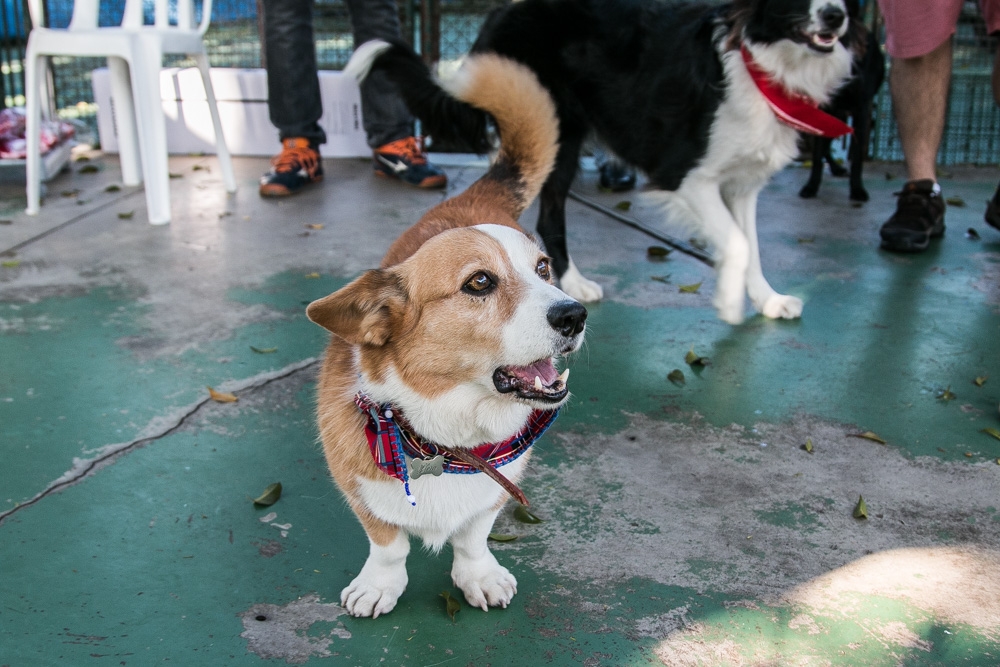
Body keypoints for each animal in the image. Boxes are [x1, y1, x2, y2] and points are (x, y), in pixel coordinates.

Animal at [348, 0, 856, 326]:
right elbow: (736, 242)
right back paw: (570, 282)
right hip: (557, 139)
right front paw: (731, 304)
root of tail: (501, 11)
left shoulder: (743, 184)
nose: (836, 15)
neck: (759, 64)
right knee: (546, 216)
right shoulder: (685, 175)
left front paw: (767, 300)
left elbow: (751, 244)